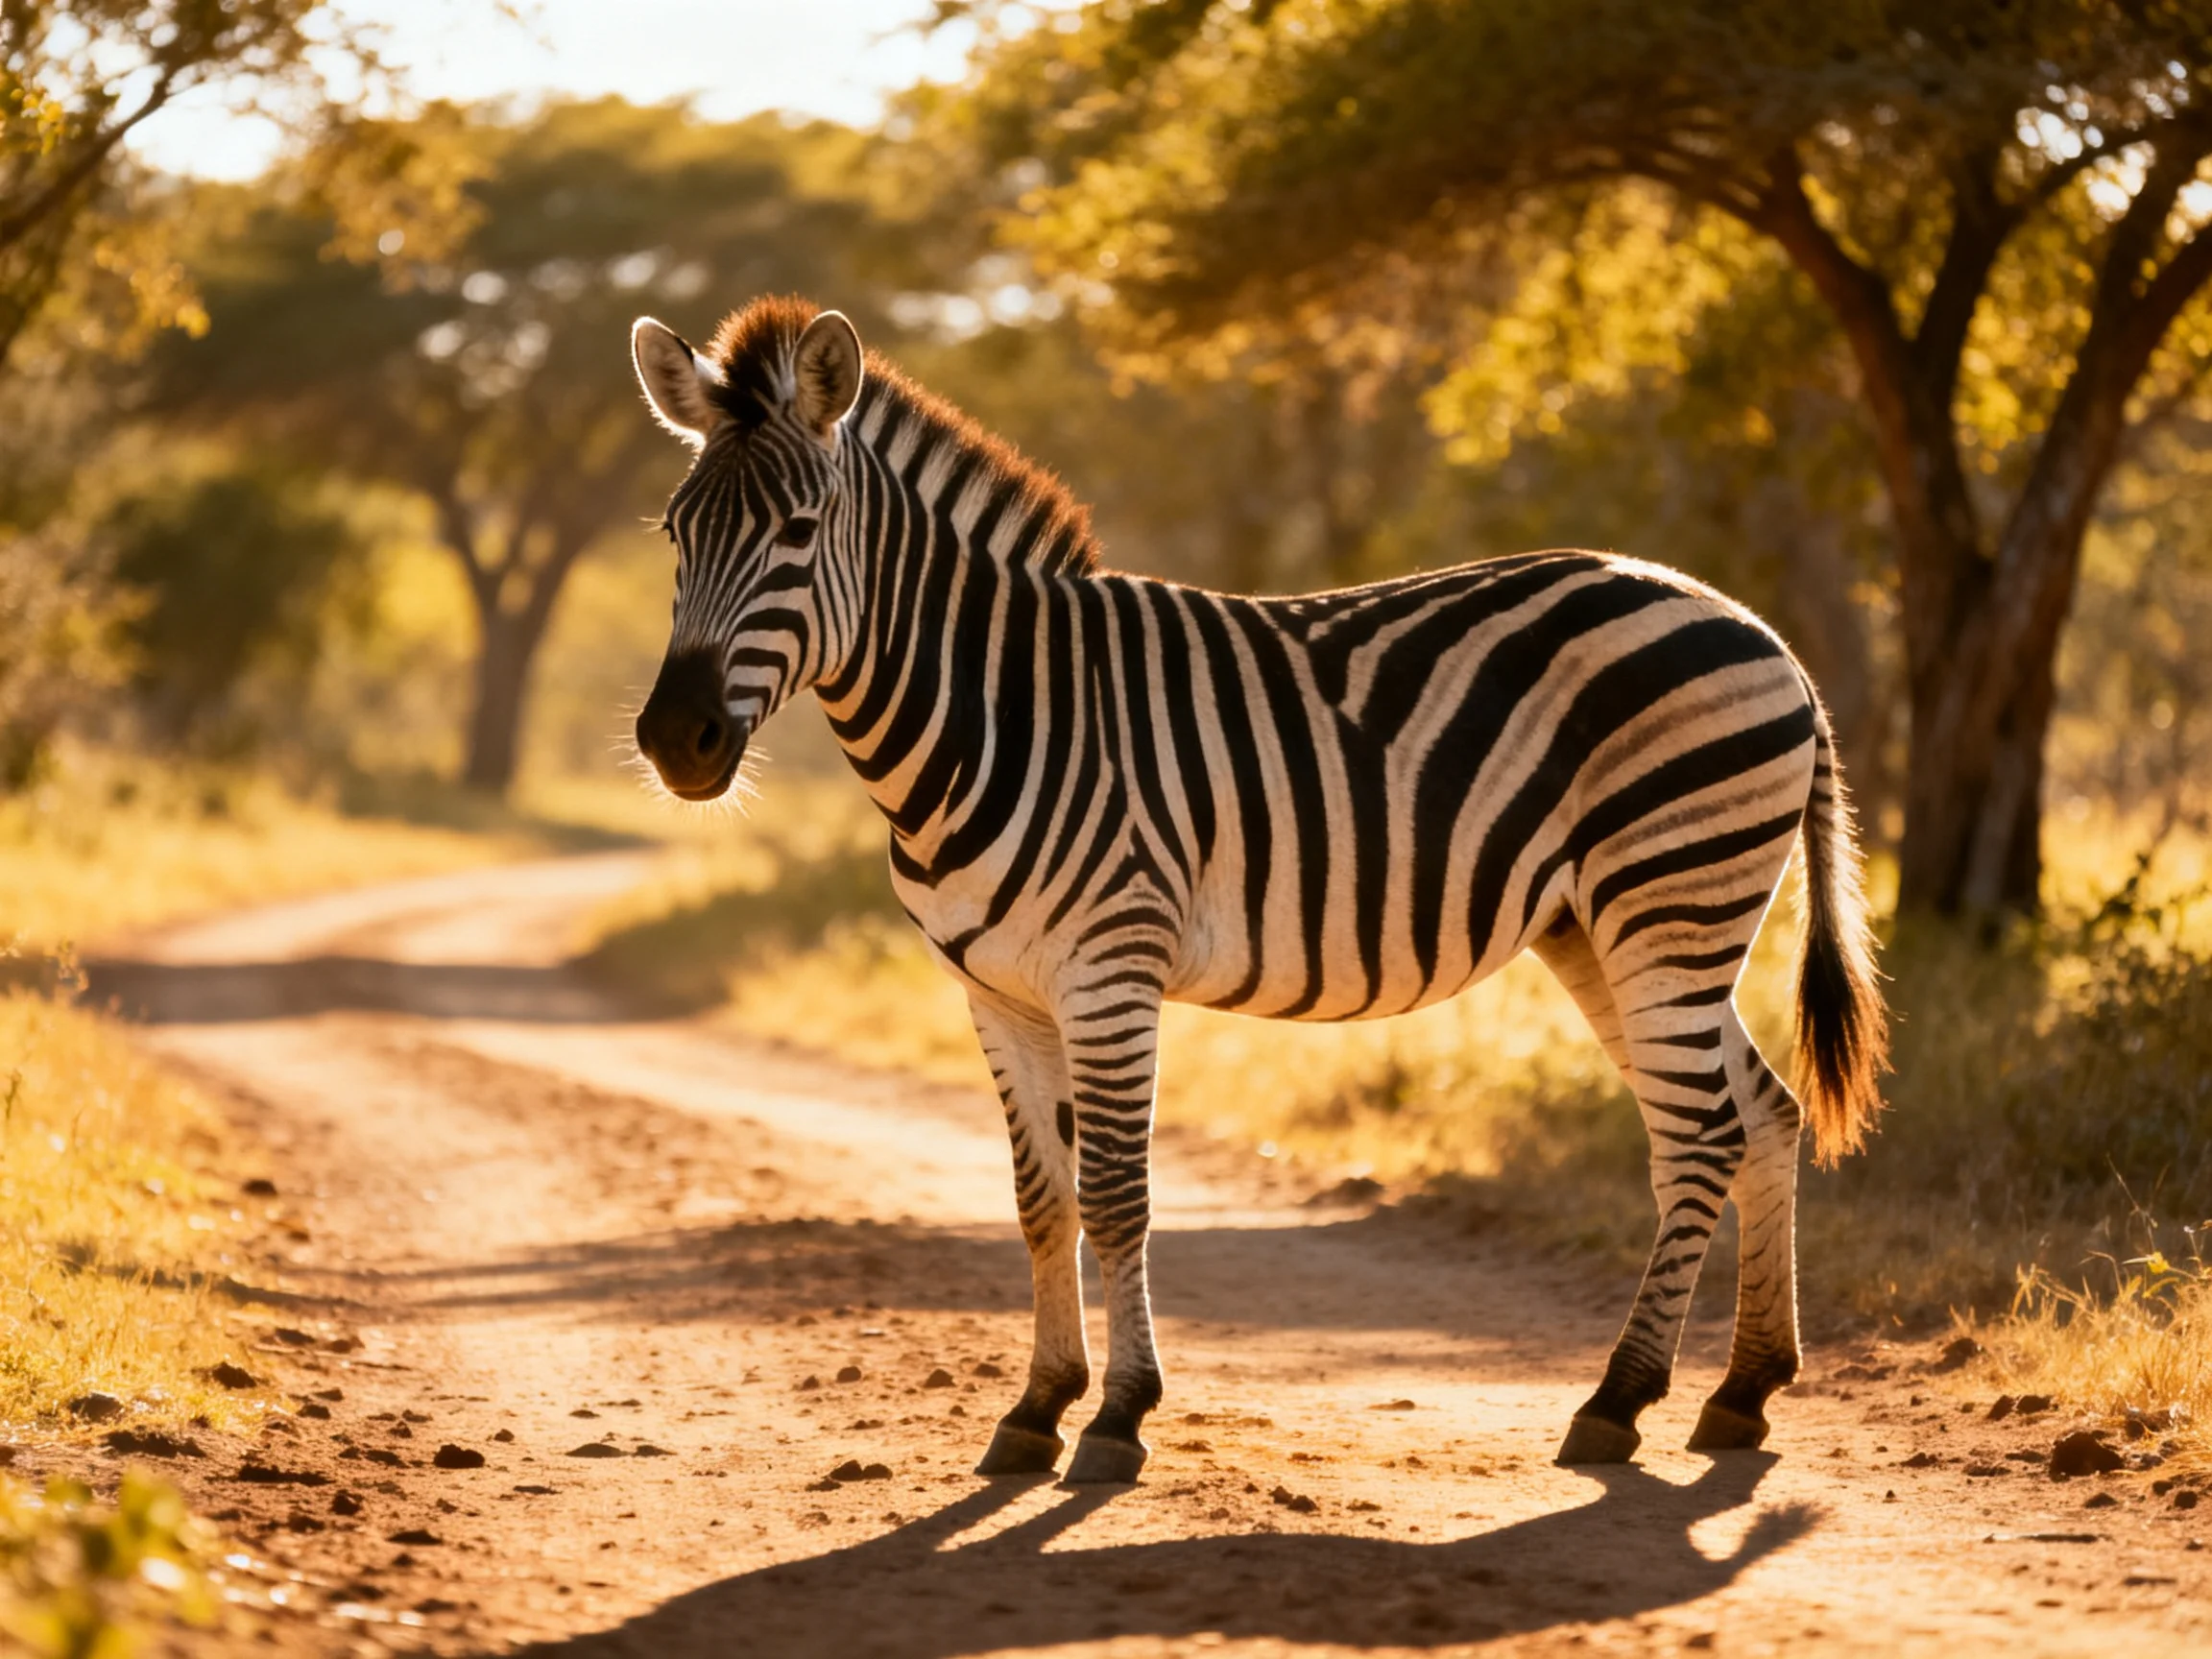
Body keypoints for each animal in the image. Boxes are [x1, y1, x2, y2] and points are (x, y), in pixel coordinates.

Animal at [628, 296, 1888, 1484]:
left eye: (797, 534)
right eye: (675, 533)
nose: (676, 741)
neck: (996, 713)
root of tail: (1759, 631)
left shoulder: (1112, 969)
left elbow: (1115, 1196)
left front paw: (1119, 1418)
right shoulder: (995, 992)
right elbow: (1041, 1202)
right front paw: (1036, 1408)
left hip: (1668, 904)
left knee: (1702, 1136)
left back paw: (1618, 1402)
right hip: (1605, 929)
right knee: (1764, 1112)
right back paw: (1743, 1389)